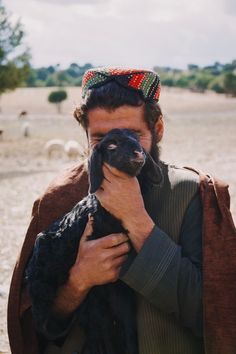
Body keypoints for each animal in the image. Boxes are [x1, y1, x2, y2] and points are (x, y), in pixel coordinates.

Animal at [25, 127, 162, 354]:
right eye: (112, 145)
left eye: (137, 138)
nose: (137, 153)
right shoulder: (101, 288)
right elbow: (106, 326)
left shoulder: (118, 286)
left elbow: (127, 323)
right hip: (43, 284)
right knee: (44, 316)